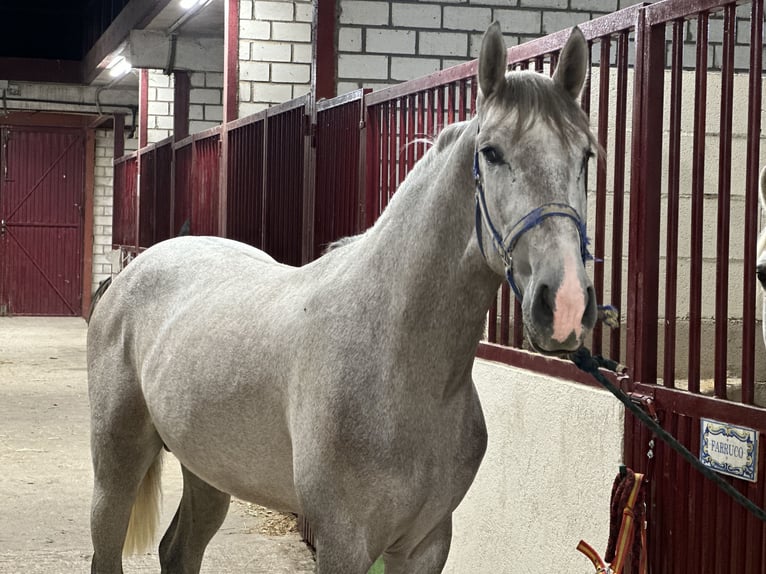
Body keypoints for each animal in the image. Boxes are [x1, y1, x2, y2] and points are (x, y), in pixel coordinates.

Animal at [85, 20, 600, 572]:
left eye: (586, 156)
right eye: (492, 152)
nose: (565, 304)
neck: (398, 361)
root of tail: (130, 274)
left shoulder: (427, 542)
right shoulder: (343, 540)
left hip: (208, 467)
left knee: (178, 550)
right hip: (117, 462)